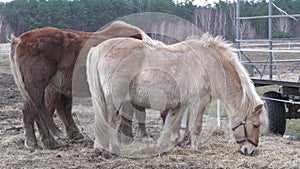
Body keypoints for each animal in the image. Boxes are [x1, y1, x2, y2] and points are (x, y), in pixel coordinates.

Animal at [9, 21, 157, 149]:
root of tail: (20, 40)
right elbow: (133, 111)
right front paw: (135, 137)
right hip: (38, 85)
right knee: (34, 110)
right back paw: (36, 142)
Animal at [85, 33, 268, 156]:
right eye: (255, 125)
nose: (250, 150)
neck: (210, 64)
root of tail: (98, 49)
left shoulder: (182, 104)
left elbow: (171, 123)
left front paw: (165, 144)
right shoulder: (199, 102)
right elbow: (195, 126)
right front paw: (195, 148)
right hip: (114, 100)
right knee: (110, 121)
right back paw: (114, 149)